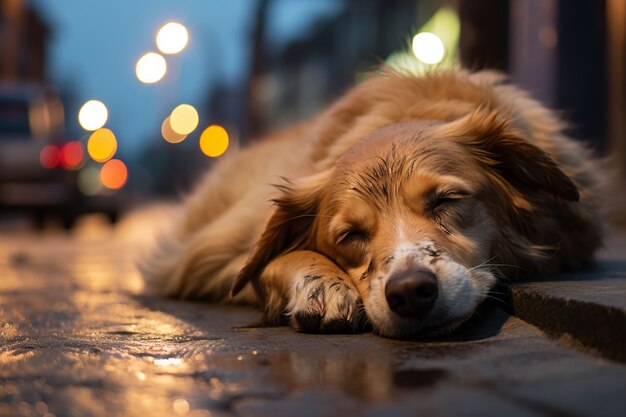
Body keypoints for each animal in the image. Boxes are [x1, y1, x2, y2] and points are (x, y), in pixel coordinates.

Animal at [140, 66, 600, 336]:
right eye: (350, 234)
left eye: (446, 200)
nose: (411, 292)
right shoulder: (206, 257)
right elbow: (267, 261)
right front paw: (323, 284)